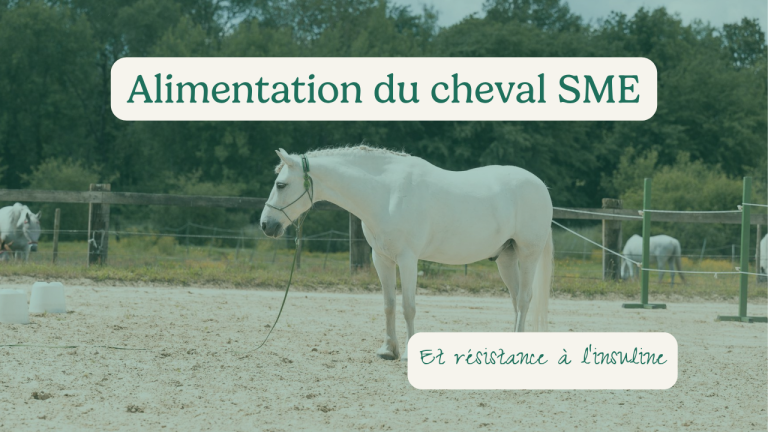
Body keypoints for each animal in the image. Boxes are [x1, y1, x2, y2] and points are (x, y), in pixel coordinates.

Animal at [260, 146, 553, 361]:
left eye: (281, 184)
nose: (266, 225)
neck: (386, 193)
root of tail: (541, 185)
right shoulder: (382, 259)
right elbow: (389, 304)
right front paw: (389, 350)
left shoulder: (408, 259)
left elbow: (407, 306)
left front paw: (411, 352)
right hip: (506, 257)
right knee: (516, 299)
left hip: (528, 254)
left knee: (524, 299)